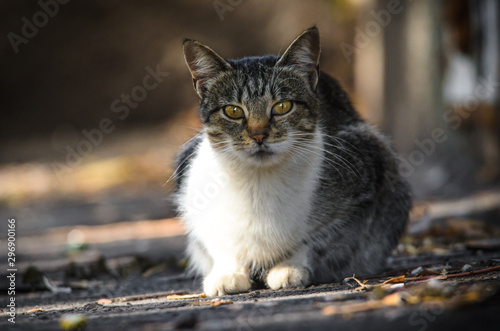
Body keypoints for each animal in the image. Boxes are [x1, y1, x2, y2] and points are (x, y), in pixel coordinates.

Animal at [173, 25, 410, 296]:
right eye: (233, 111)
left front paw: (289, 267)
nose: (259, 135)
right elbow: (217, 241)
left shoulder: (363, 183)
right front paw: (228, 272)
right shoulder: (190, 189)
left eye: (282, 106)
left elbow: (314, 239)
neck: (258, 183)